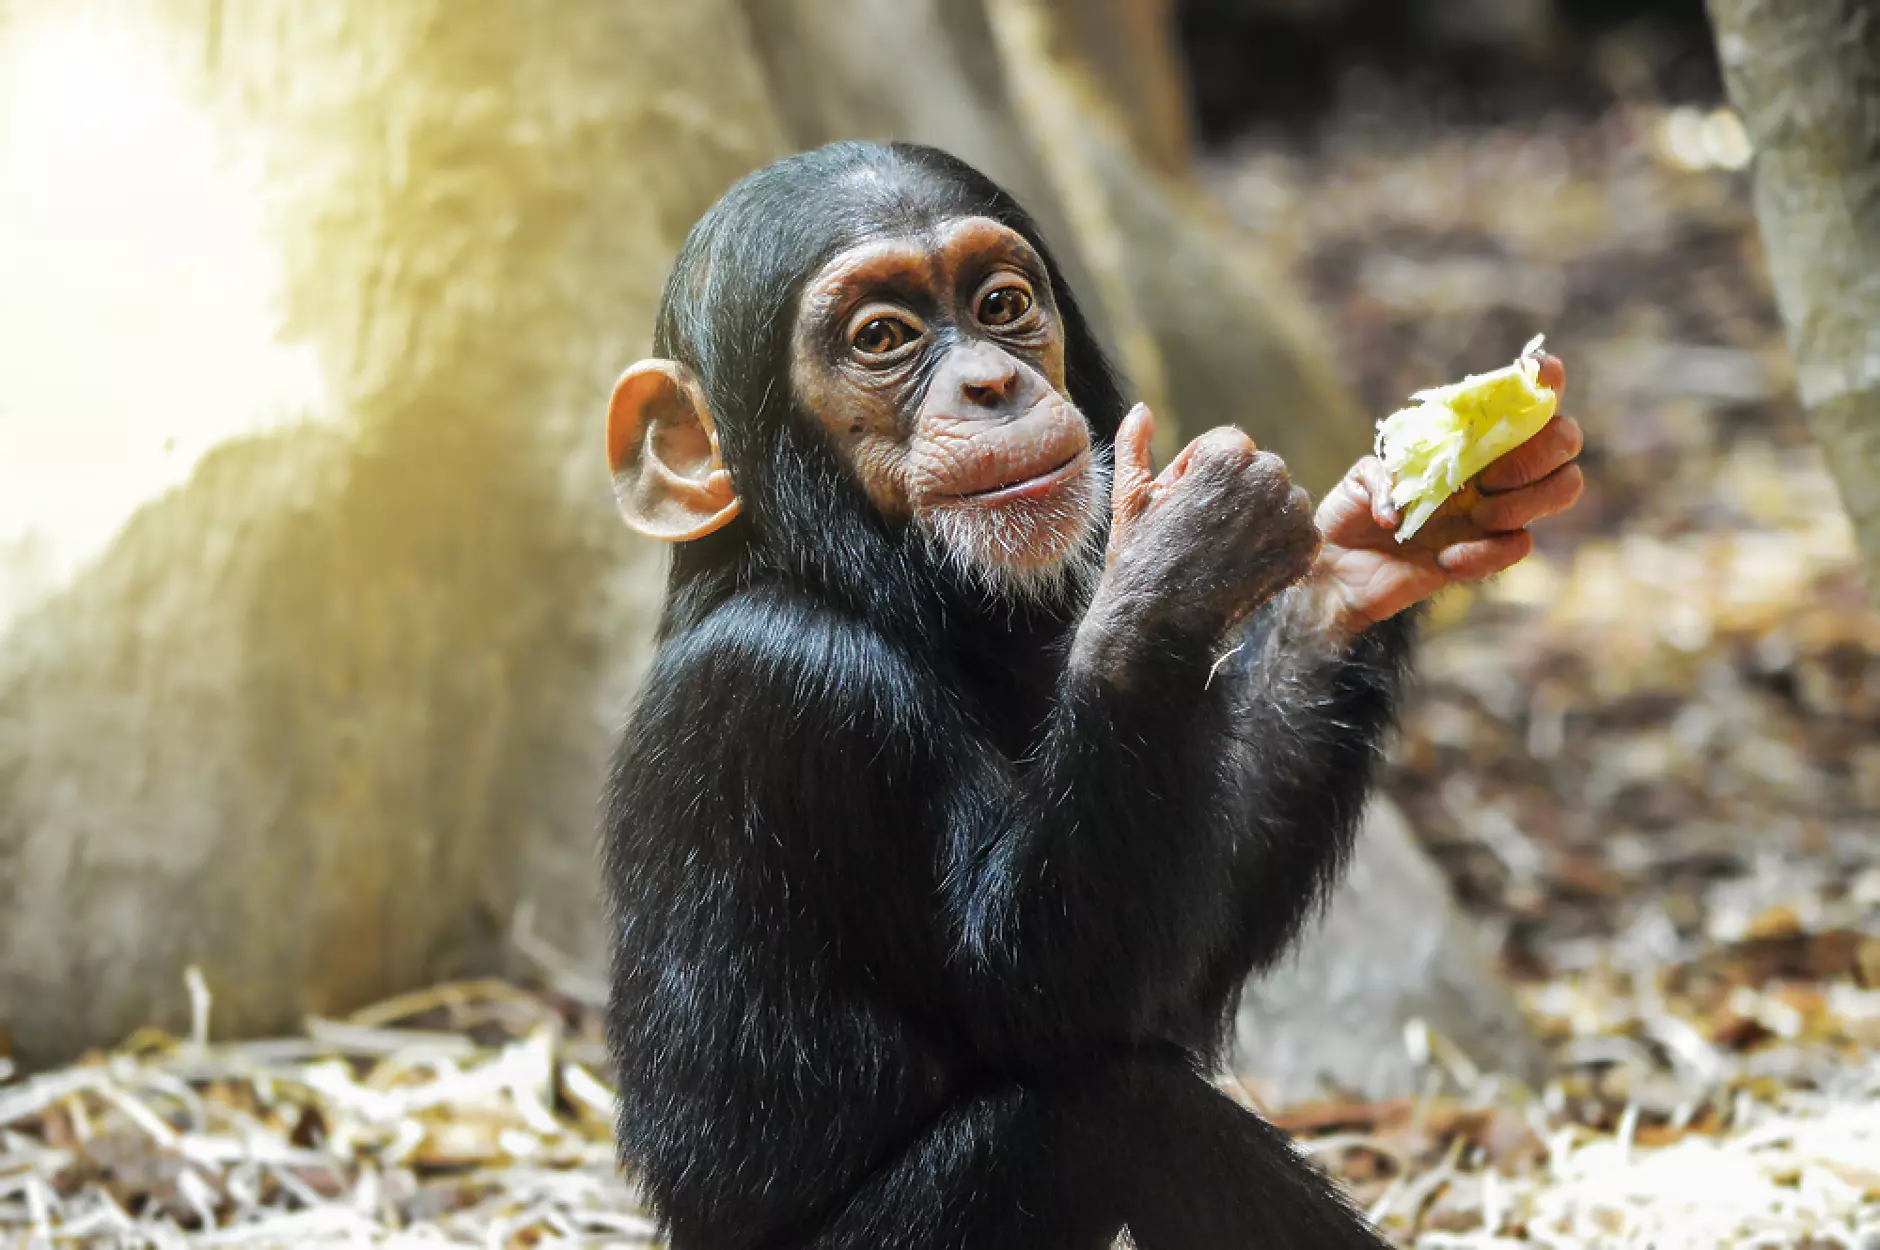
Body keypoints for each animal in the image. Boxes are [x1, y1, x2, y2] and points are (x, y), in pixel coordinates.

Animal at [605, 140, 1586, 1240]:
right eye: (882, 336)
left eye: (999, 303)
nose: (992, 381)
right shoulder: (801, 687)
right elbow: (1036, 988)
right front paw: (1178, 554)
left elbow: (1169, 966)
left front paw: (1373, 541)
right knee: (1108, 1107)